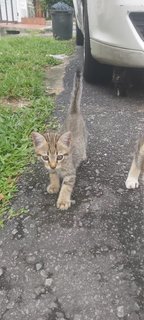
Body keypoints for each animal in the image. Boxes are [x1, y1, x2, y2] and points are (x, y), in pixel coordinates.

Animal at [32, 70, 87, 210]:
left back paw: (83, 155)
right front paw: (54, 185)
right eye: (45, 157)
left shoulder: (70, 174)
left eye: (60, 157)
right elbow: (53, 176)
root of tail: (74, 112)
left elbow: (66, 187)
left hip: (85, 135)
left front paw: (63, 200)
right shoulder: (51, 169)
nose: (53, 165)